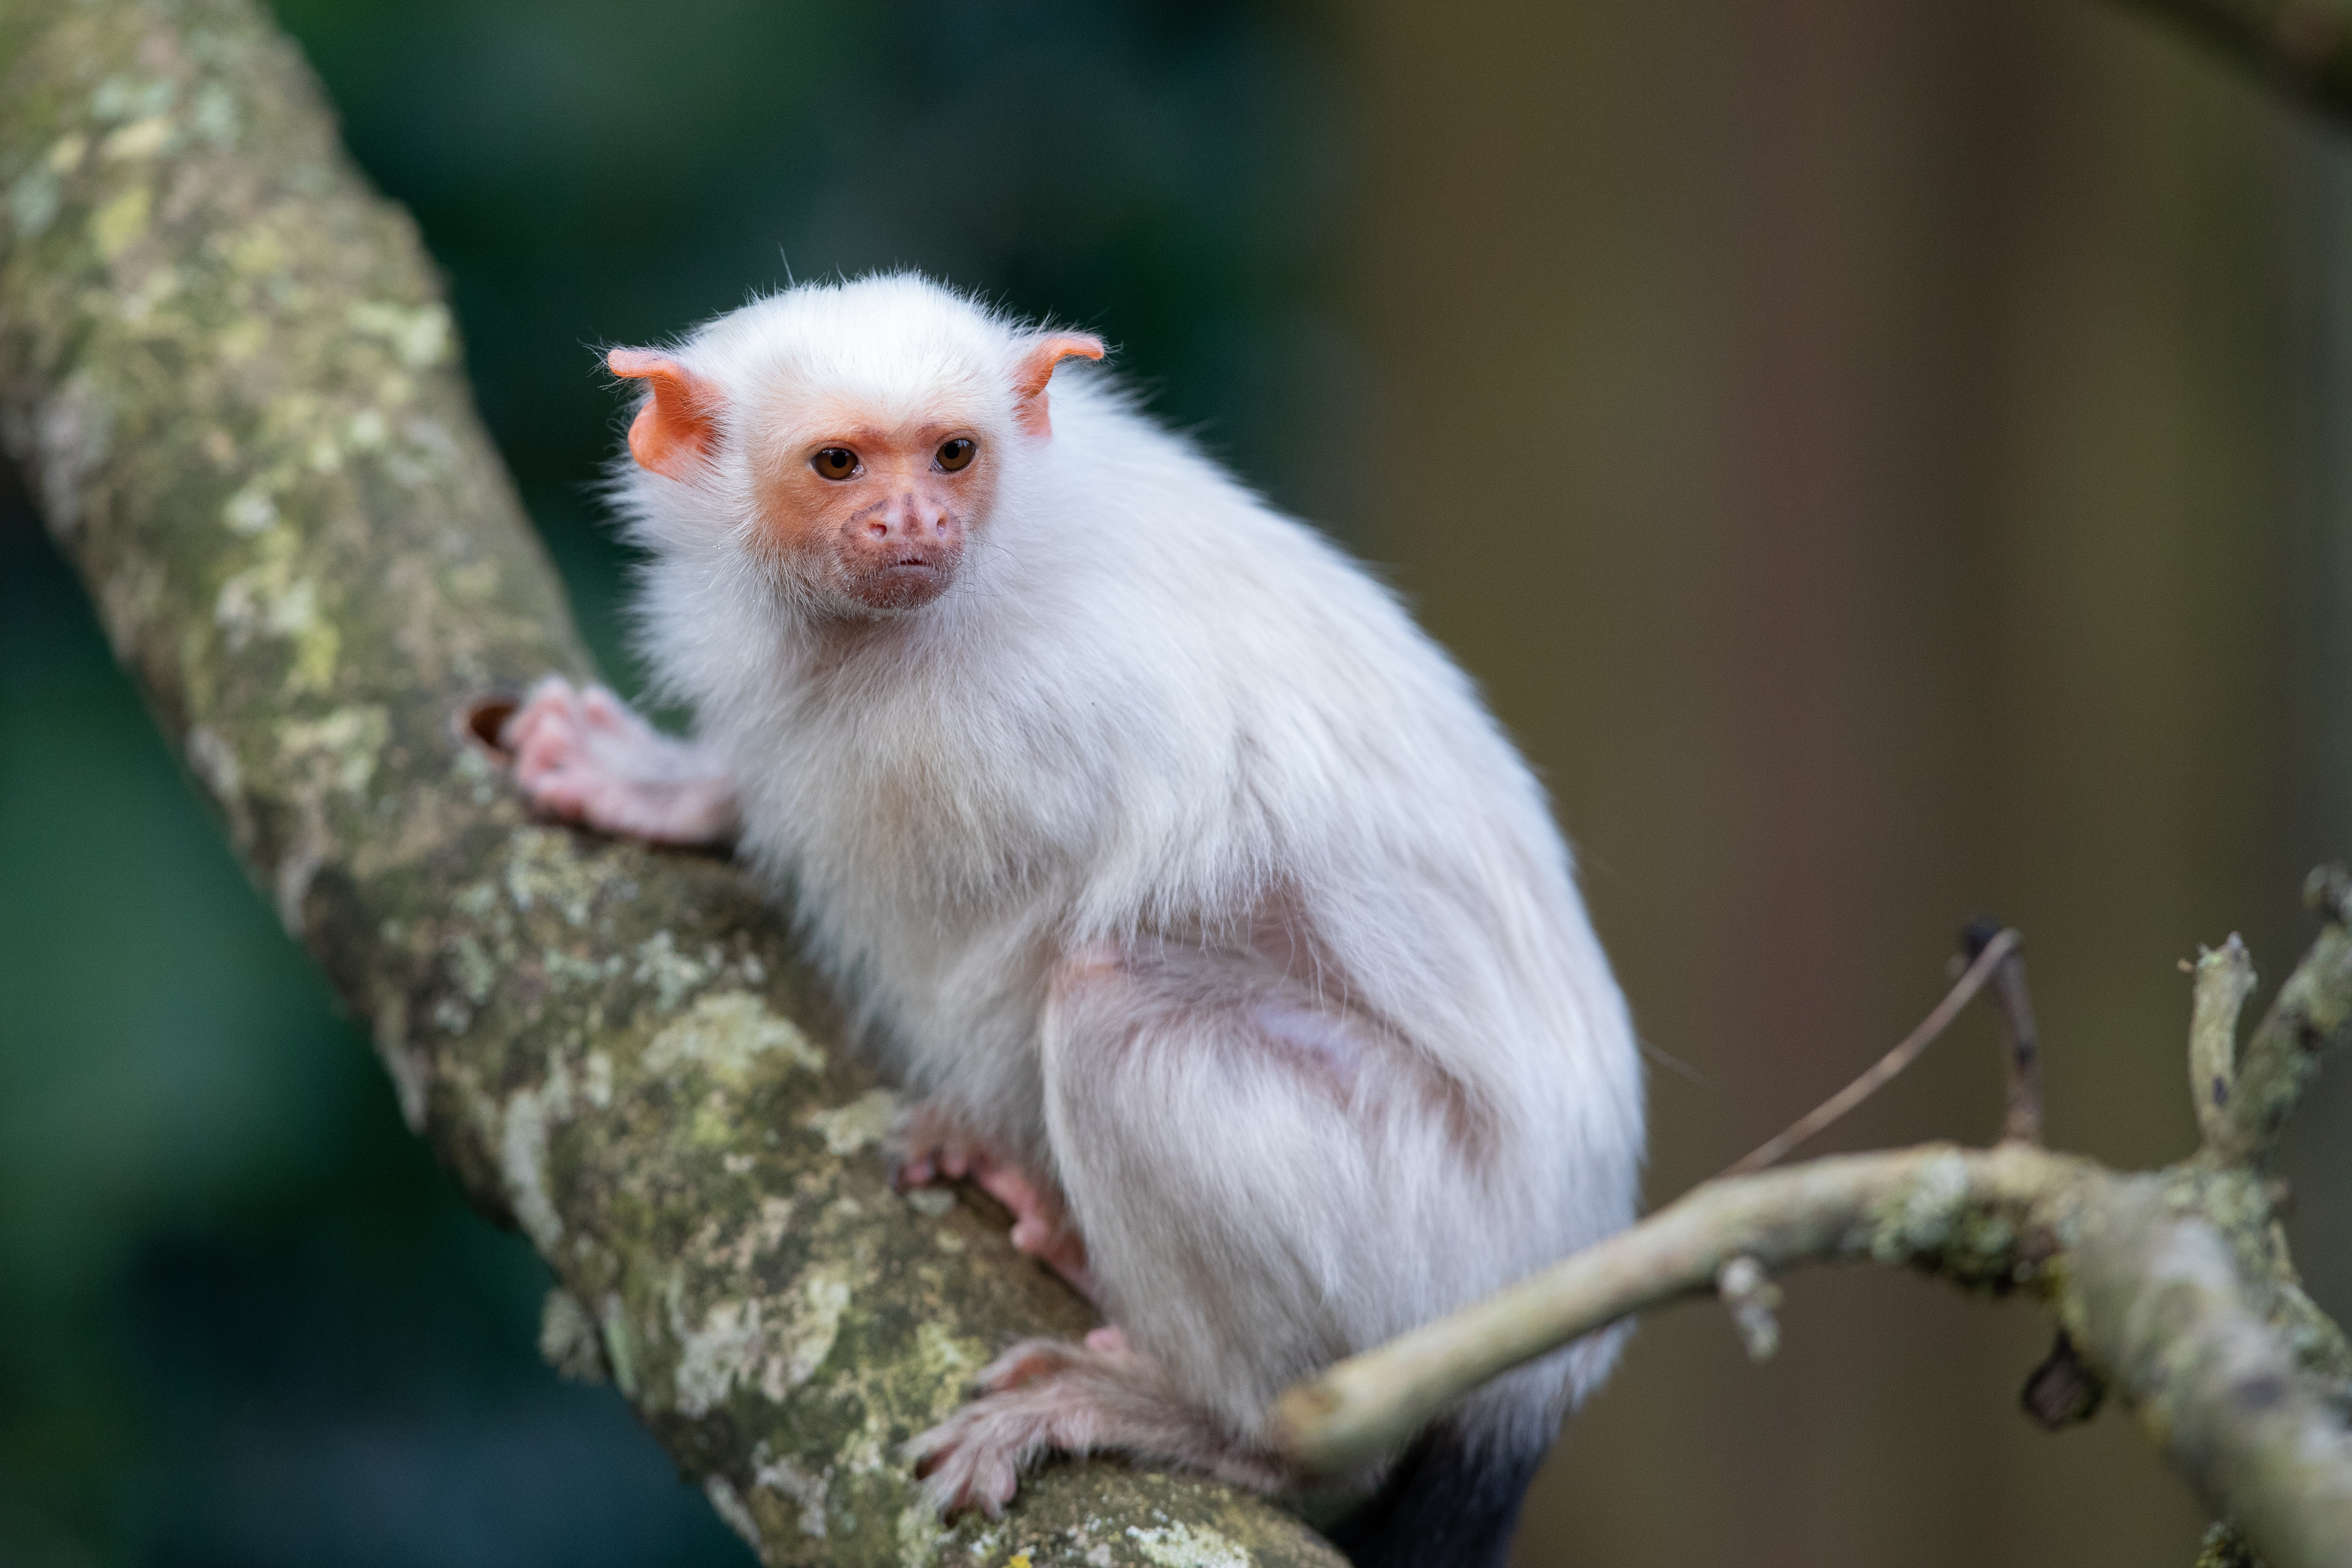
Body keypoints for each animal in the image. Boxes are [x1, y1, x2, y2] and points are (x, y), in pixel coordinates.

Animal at [510, 276, 1656, 1561]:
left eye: (953, 456)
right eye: (840, 463)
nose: (914, 522)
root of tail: (1552, 1347)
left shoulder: (1045, 716)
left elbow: (1056, 914)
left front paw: (982, 1136)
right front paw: (672, 786)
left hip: (1426, 1241)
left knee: (1112, 1013)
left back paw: (1221, 1420)